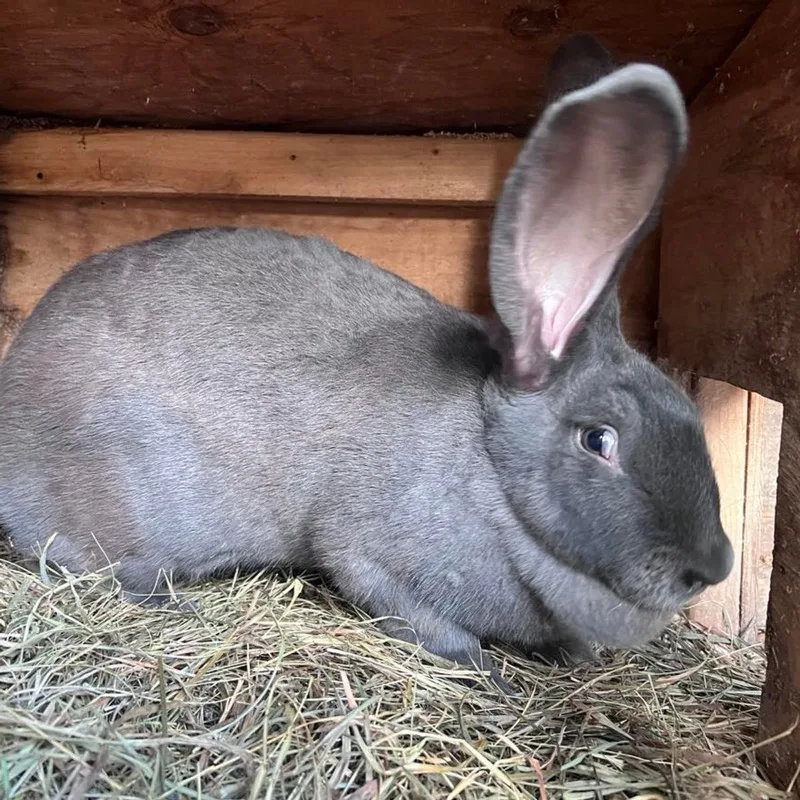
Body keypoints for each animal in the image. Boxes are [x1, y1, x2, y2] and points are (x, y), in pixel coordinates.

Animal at [0, 33, 733, 689]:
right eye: (599, 440)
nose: (714, 567)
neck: (488, 471)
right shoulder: (370, 557)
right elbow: (421, 618)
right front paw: (489, 669)